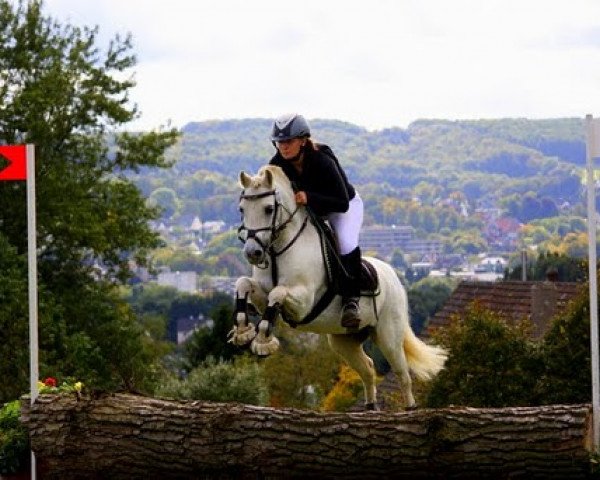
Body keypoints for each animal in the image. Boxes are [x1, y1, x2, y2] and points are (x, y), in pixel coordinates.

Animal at [230, 165, 446, 408]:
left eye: (268, 209)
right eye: (242, 209)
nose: (253, 253)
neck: (279, 250)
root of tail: (394, 277)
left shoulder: (303, 302)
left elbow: (277, 293)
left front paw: (263, 341)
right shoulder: (262, 296)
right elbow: (243, 284)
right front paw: (242, 331)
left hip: (388, 335)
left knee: (403, 374)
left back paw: (408, 408)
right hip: (343, 341)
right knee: (368, 368)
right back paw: (370, 408)